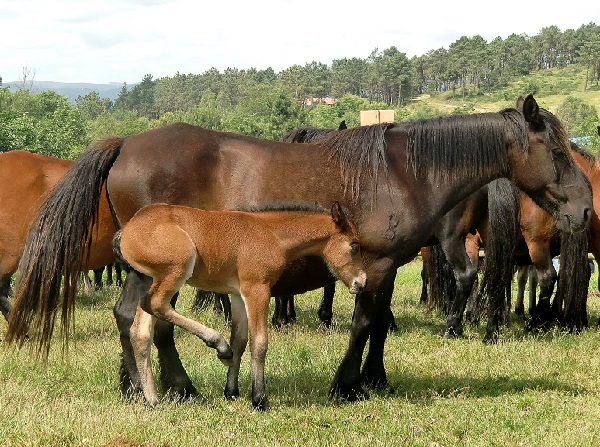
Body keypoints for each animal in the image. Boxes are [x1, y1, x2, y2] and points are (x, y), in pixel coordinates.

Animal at [112, 201, 366, 412]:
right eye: (354, 245)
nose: (361, 283)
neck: (271, 234)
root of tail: (126, 231)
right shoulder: (257, 290)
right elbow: (259, 343)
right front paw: (259, 400)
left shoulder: (237, 295)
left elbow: (240, 340)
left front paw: (231, 391)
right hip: (178, 268)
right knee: (155, 304)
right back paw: (218, 345)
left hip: (150, 278)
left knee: (141, 331)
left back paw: (152, 399)